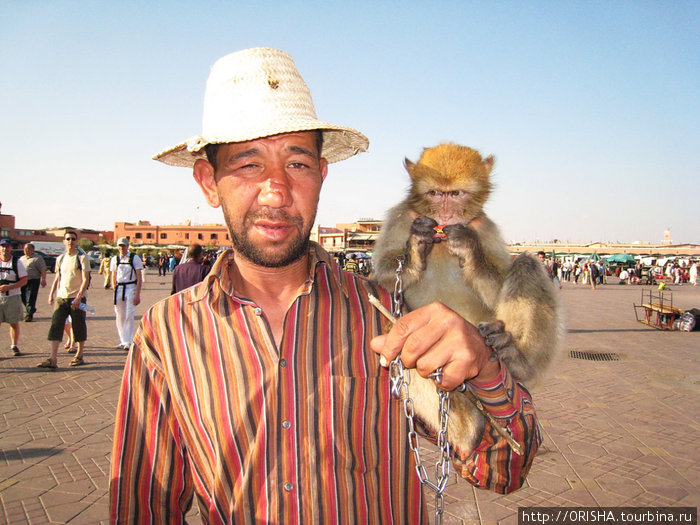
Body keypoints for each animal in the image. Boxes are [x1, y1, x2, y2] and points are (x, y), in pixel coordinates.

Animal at [372, 141, 564, 452]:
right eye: (436, 193)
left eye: (456, 194)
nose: (446, 216)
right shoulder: (401, 217)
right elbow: (384, 278)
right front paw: (416, 246)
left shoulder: (483, 225)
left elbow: (497, 287)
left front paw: (468, 247)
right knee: (394, 329)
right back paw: (465, 429)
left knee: (527, 264)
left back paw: (515, 355)